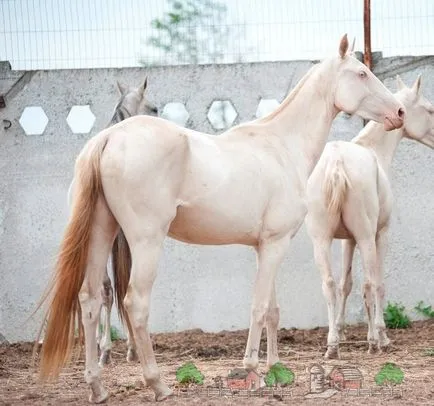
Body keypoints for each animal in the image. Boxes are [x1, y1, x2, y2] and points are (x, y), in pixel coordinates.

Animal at [35, 35, 406, 402]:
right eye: (361, 73)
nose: (399, 112)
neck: (281, 146)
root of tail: (108, 138)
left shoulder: (266, 246)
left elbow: (272, 310)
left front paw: (275, 369)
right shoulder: (275, 244)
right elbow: (258, 306)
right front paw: (252, 371)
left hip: (102, 232)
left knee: (90, 299)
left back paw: (97, 387)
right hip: (145, 241)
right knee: (135, 303)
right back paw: (159, 385)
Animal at [306, 75, 434, 358]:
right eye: (430, 110)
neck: (372, 150)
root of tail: (337, 161)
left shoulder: (347, 240)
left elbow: (346, 283)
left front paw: (342, 331)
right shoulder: (379, 234)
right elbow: (376, 284)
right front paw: (380, 336)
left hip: (321, 239)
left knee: (329, 284)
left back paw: (332, 345)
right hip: (366, 237)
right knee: (370, 282)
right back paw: (375, 340)